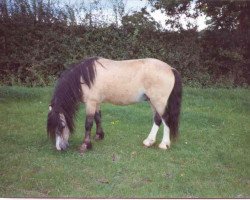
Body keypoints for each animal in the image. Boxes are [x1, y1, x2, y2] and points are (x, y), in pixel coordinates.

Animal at [47, 56, 182, 153]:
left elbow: (88, 124)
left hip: (159, 101)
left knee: (166, 119)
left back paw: (164, 144)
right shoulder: (97, 102)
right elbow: (98, 118)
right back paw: (149, 141)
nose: (60, 148)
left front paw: (85, 145)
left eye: (62, 126)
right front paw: (99, 136)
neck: (84, 77)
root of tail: (170, 69)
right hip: (152, 101)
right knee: (157, 119)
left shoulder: (91, 103)